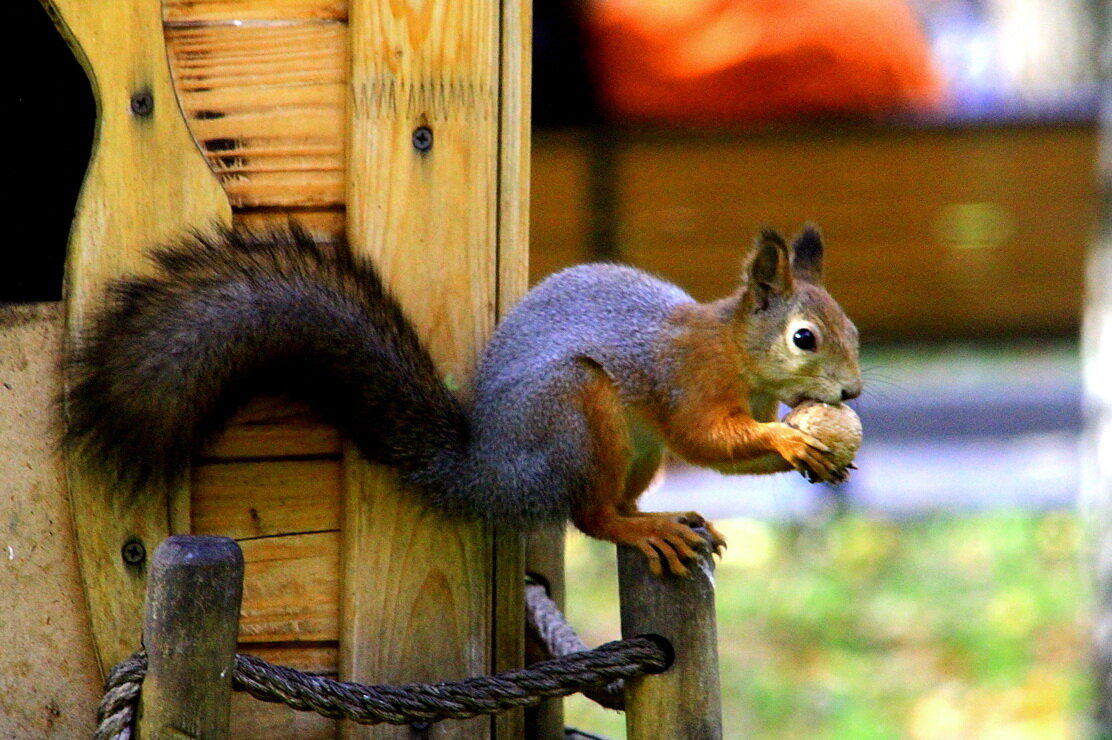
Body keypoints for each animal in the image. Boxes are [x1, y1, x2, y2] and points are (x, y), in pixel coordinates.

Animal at [67, 223, 858, 569]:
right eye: (805, 338)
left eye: (851, 328)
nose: (852, 390)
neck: (732, 350)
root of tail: (491, 474)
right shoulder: (683, 377)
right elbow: (705, 438)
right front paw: (790, 437)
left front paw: (818, 453)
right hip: (579, 412)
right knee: (592, 516)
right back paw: (643, 530)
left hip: (634, 451)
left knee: (615, 502)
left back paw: (666, 516)